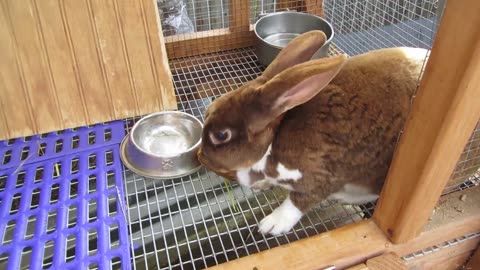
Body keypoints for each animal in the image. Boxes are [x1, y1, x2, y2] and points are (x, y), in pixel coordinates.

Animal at [197, 30, 430, 235]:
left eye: (221, 136)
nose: (200, 155)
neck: (274, 141)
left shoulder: (323, 174)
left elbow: (298, 202)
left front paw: (271, 224)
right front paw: (262, 185)